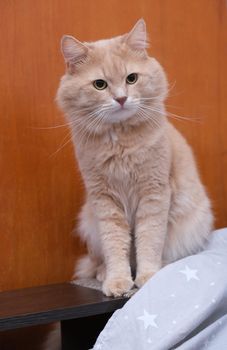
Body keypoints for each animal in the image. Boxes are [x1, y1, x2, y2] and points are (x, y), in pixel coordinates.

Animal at [56, 19, 213, 296]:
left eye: (131, 78)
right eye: (100, 84)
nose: (121, 98)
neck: (120, 143)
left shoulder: (154, 195)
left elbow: (149, 241)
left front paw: (148, 276)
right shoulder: (105, 201)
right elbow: (116, 247)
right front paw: (117, 281)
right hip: (90, 224)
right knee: (97, 260)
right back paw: (102, 273)